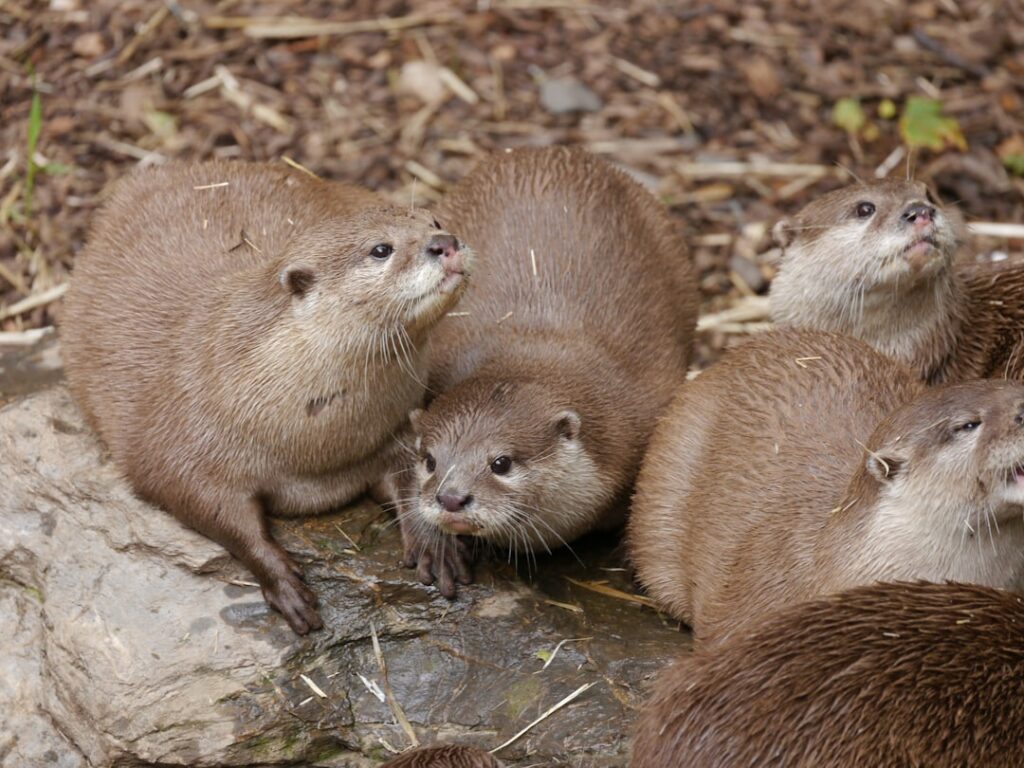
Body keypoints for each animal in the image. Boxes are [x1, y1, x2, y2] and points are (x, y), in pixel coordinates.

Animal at [61, 161, 470, 634]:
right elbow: (213, 510)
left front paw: (433, 542)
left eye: (434, 221)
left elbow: (415, 475)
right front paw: (282, 582)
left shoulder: (400, 425)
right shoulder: (183, 440)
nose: (445, 243)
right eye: (381, 249)